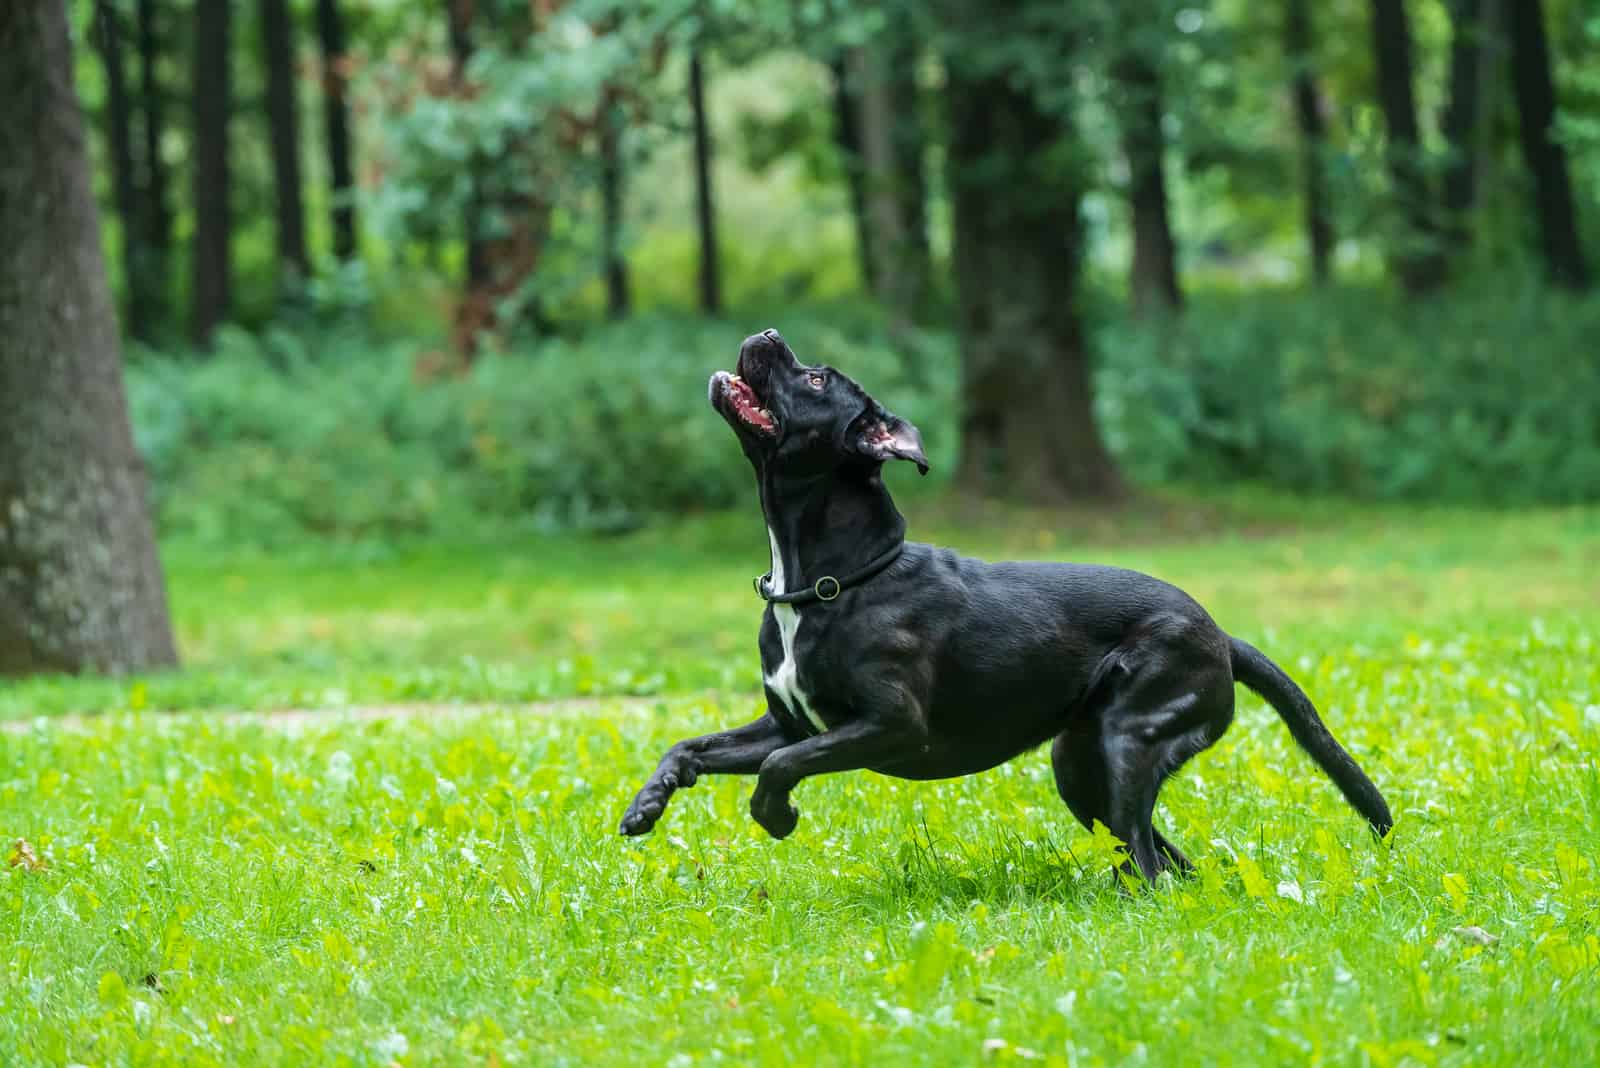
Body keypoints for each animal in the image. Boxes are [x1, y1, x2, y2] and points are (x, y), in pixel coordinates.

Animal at [617, 329, 1395, 882]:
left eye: (813, 380)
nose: (769, 331)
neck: (830, 582)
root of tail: (1221, 635)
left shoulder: (889, 724)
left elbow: (781, 768)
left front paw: (775, 818)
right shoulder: (787, 720)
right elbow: (690, 746)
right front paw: (645, 806)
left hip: (1132, 741)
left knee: (1149, 863)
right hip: (1081, 765)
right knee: (1164, 861)